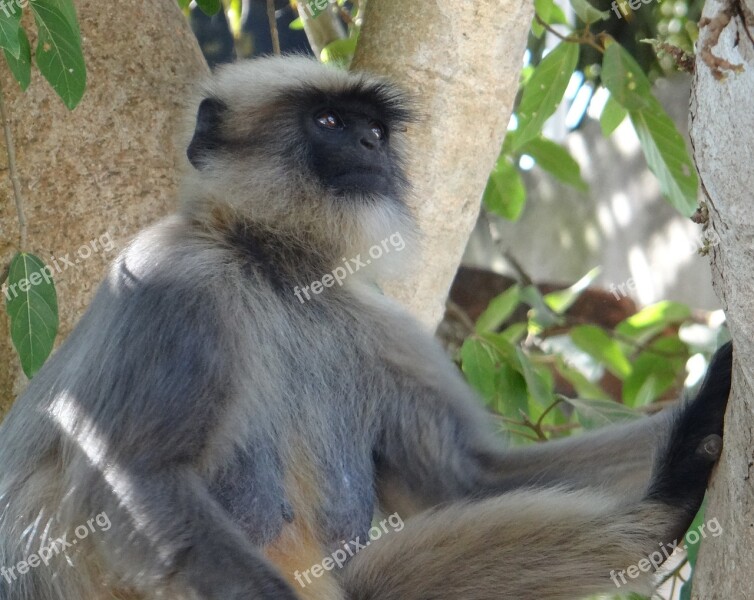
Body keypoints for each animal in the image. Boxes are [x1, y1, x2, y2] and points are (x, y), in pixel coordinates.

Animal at [0, 56, 732, 600]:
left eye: (375, 130)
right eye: (330, 120)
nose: (367, 146)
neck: (280, 273)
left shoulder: (380, 324)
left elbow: (473, 479)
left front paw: (713, 402)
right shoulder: (172, 276)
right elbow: (131, 476)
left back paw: (664, 503)